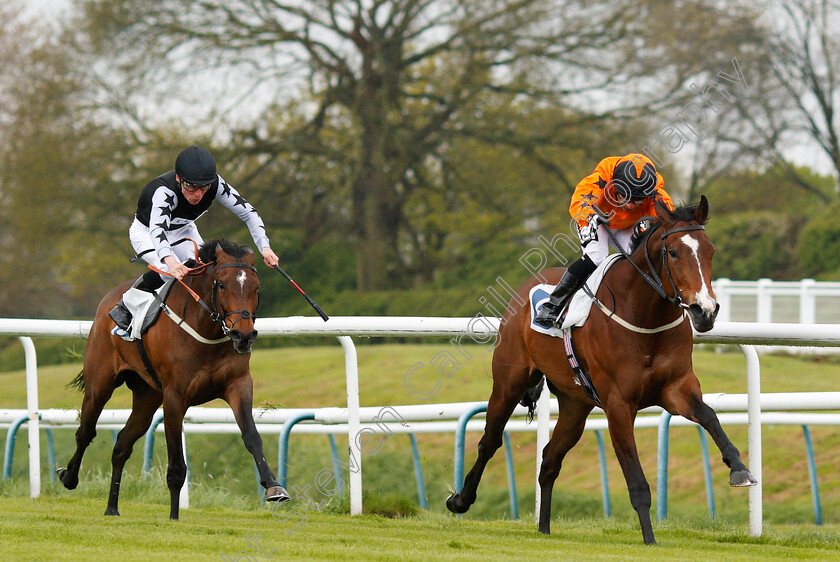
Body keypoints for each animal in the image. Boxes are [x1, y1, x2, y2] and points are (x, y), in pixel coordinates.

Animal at [57, 238, 290, 520]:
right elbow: (176, 460)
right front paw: (174, 516)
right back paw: (69, 477)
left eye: (256, 287)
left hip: (147, 396)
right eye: (222, 284)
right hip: (100, 383)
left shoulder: (238, 385)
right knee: (85, 431)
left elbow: (252, 437)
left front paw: (274, 486)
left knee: (122, 445)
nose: (243, 336)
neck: (206, 330)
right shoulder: (175, 397)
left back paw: (112, 507)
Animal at [450, 196, 756, 544]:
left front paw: (739, 469)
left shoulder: (676, 388)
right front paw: (650, 540)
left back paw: (544, 527)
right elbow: (637, 482)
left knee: (550, 459)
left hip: (575, 405)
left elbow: (709, 416)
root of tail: (526, 287)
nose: (705, 311)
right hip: (508, 383)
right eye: (674, 252)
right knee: (489, 441)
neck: (644, 316)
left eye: (710, 250)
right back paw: (460, 500)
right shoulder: (618, 405)